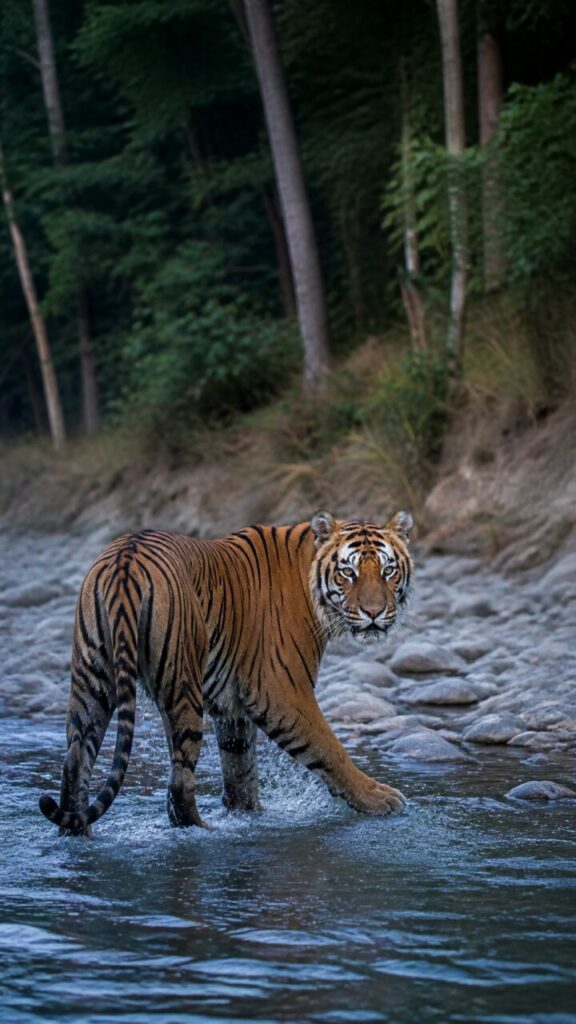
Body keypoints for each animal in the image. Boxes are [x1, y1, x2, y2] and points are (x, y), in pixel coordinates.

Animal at [39, 509, 413, 835]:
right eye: (348, 572)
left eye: (387, 571)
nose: (374, 613)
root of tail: (124, 560)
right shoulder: (281, 690)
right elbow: (329, 747)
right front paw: (379, 799)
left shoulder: (232, 705)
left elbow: (240, 767)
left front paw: (248, 814)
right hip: (183, 684)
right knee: (179, 779)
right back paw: (201, 832)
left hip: (92, 679)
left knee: (74, 761)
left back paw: (78, 834)